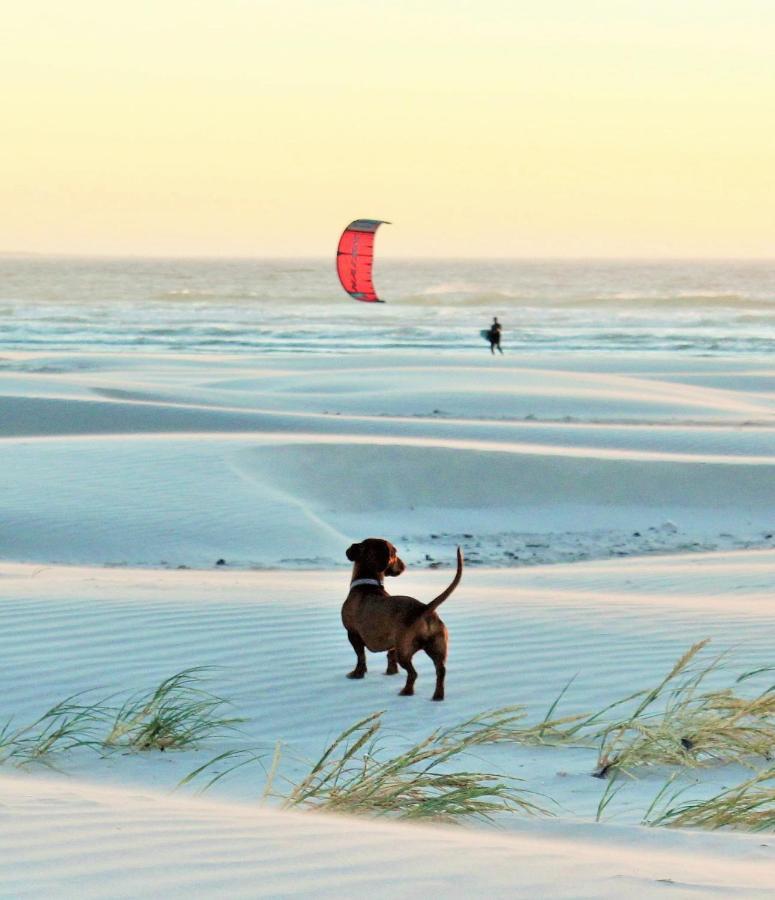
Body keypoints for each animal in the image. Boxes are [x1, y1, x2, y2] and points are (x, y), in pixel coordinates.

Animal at [342, 536, 464, 700]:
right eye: (395, 553)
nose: (404, 566)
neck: (367, 584)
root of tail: (424, 609)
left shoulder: (353, 634)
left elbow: (360, 657)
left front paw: (357, 674)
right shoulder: (392, 643)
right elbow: (390, 656)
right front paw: (390, 672)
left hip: (404, 652)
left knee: (413, 673)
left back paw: (406, 691)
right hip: (437, 649)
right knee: (441, 671)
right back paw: (437, 696)